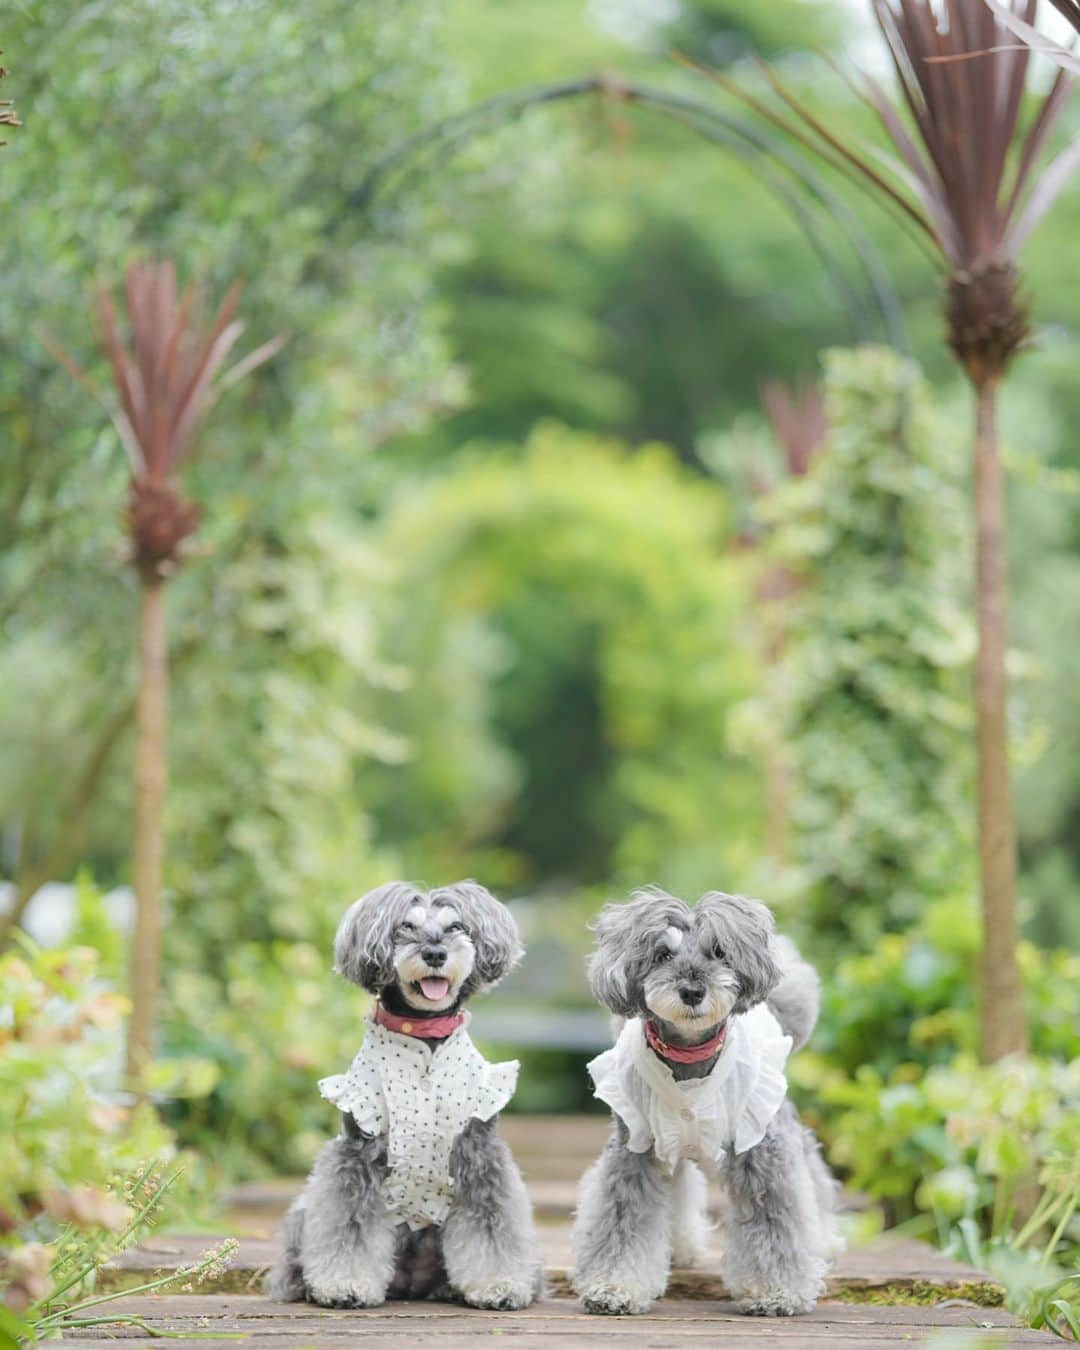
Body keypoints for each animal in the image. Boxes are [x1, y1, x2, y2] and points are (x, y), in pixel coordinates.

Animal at [267, 880, 545, 1312]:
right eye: (405, 928)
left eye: (456, 927)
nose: (435, 953)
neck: (424, 1036)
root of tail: (412, 1283)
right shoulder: (357, 1155)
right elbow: (349, 1224)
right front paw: (344, 1284)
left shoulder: (480, 1154)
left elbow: (492, 1227)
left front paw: (499, 1285)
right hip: (302, 1212)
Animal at [569, 891, 837, 1312]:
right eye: (663, 954)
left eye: (719, 952)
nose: (693, 992)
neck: (689, 1055)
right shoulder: (635, 1149)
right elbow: (621, 1218)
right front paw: (614, 1287)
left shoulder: (760, 1148)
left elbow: (773, 1217)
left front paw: (776, 1291)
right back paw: (680, 1249)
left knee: (810, 1170)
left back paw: (822, 1240)